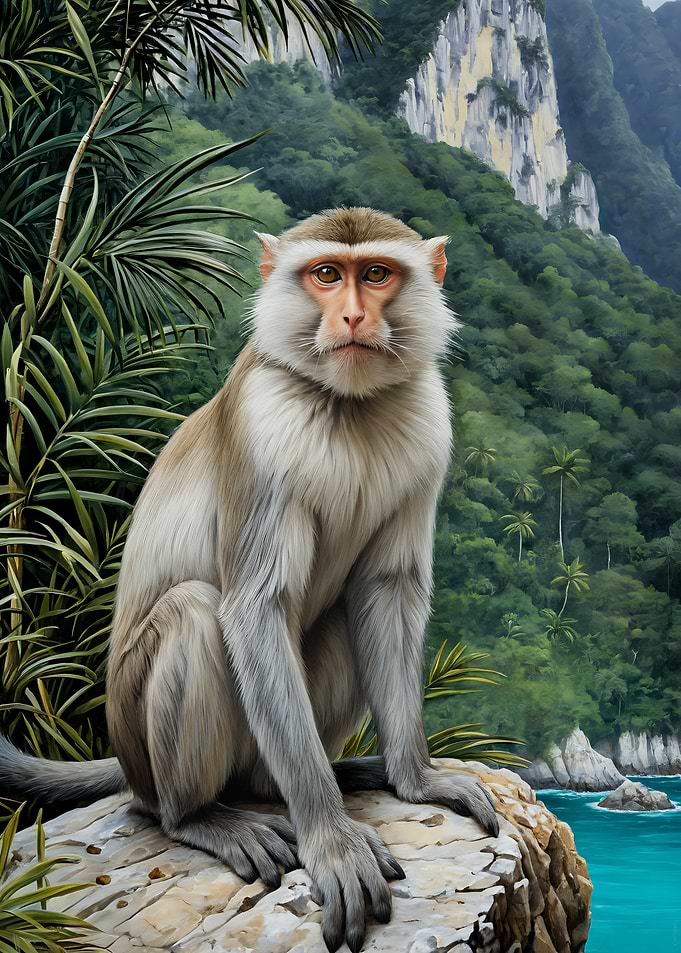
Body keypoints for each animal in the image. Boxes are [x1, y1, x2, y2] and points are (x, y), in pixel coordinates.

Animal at [0, 207, 499, 953]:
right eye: (327, 274)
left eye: (377, 273)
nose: (353, 315)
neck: (346, 405)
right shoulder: (262, 432)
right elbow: (254, 608)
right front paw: (332, 840)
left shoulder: (428, 430)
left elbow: (385, 593)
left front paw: (416, 779)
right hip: (146, 744)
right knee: (192, 612)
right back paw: (200, 816)